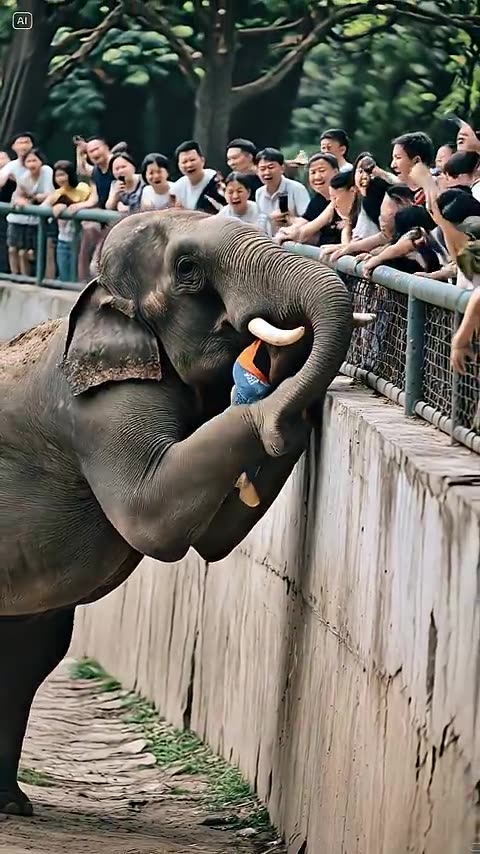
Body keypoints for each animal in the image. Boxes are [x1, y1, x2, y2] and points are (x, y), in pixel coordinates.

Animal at [0, 208, 362, 816]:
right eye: (188, 268)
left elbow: (213, 537)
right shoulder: (96, 408)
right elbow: (155, 518)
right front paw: (273, 412)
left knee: (27, 660)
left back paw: (11, 805)